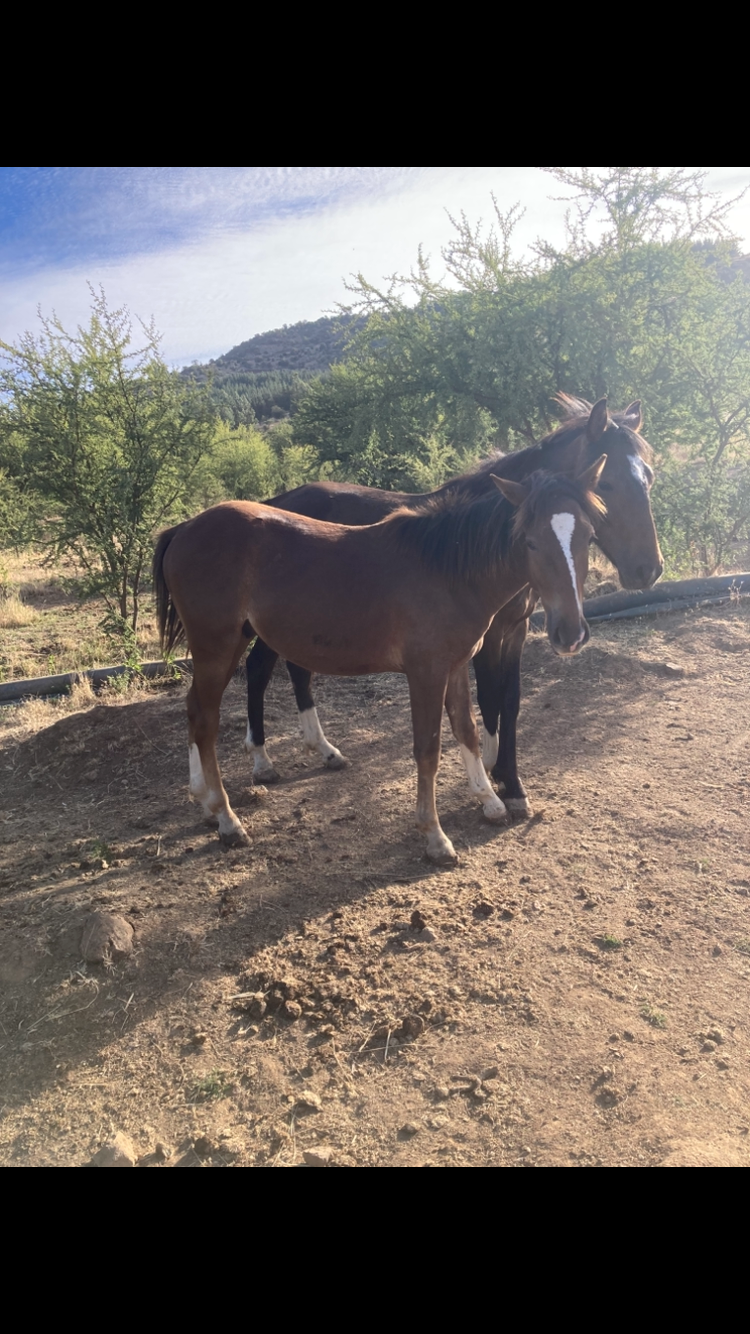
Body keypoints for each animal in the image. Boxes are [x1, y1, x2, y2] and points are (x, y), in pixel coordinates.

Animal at [154, 463, 606, 865]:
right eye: (529, 541)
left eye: (587, 535)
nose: (570, 633)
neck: (448, 569)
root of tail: (183, 530)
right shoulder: (426, 674)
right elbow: (428, 749)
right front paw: (435, 836)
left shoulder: (456, 666)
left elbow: (468, 730)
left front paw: (489, 800)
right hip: (216, 646)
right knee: (206, 720)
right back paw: (228, 819)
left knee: (196, 710)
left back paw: (206, 803)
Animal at [244, 396, 663, 816]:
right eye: (606, 483)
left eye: (649, 478)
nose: (648, 570)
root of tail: (275, 502)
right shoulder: (487, 635)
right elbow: (490, 697)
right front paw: (502, 779)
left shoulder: (517, 629)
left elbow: (510, 700)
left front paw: (505, 777)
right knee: (259, 667)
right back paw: (263, 761)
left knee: (295, 670)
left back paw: (324, 750)